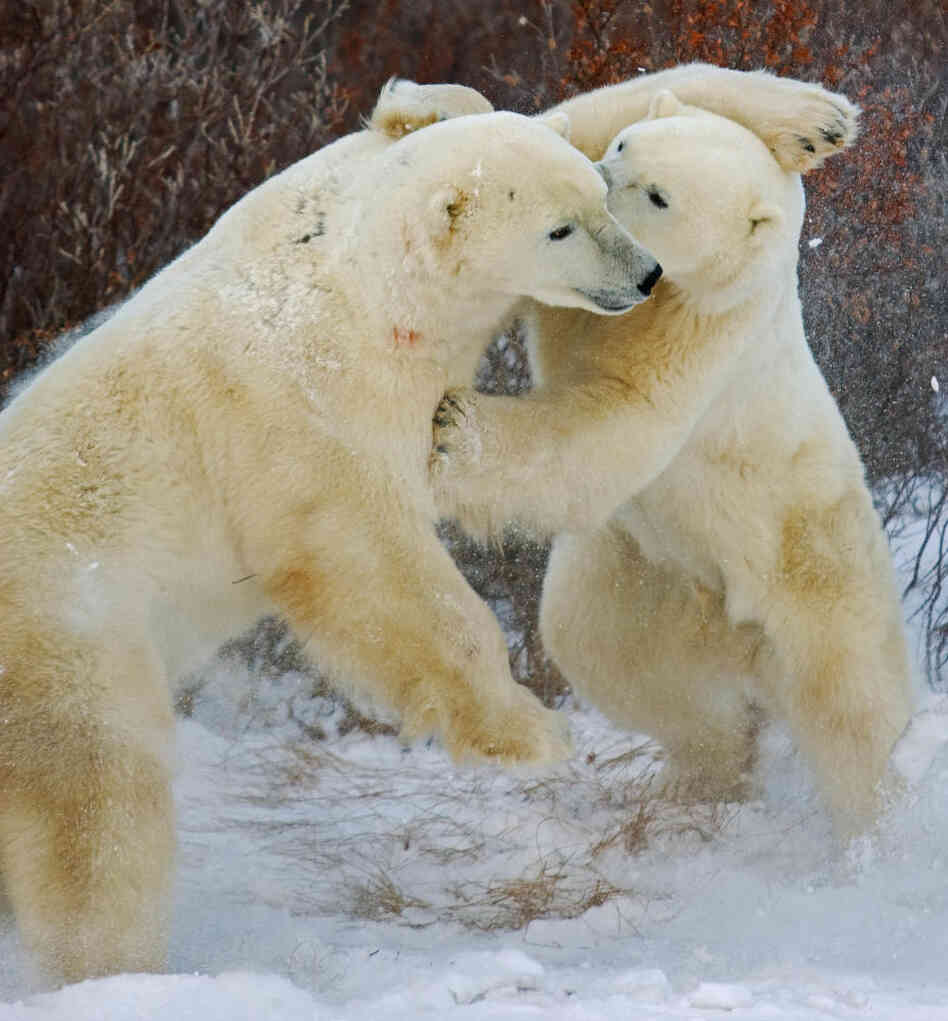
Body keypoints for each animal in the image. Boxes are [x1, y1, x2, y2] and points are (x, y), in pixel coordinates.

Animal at [0, 79, 667, 985]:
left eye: (600, 193)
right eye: (557, 228)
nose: (647, 274)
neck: (364, 288)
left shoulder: (301, 194)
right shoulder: (309, 408)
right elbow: (373, 566)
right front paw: (531, 734)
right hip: (67, 636)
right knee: (99, 800)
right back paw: (116, 965)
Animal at [431, 89, 914, 837]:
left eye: (659, 196)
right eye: (625, 146)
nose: (598, 180)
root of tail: (743, 642)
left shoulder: (706, 332)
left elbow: (617, 417)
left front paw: (455, 431)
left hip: (823, 580)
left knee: (853, 710)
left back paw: (872, 832)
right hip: (644, 581)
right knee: (614, 656)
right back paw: (700, 778)